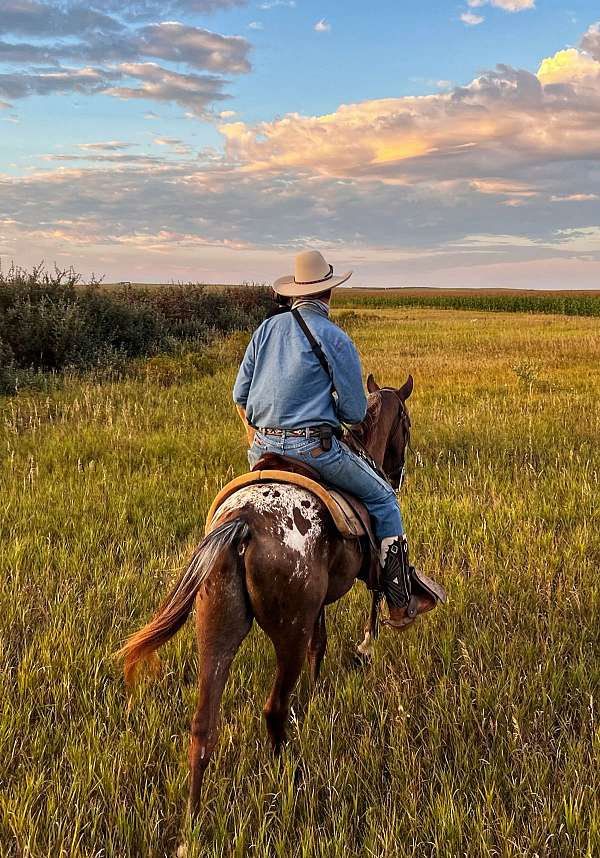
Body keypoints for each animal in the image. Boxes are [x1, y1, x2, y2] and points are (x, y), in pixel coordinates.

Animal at [118, 372, 418, 816]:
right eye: (407, 424)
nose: (395, 476)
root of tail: (242, 523)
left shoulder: (317, 607)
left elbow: (320, 645)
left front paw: (316, 693)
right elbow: (372, 602)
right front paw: (364, 649)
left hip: (215, 627)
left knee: (203, 725)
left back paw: (192, 820)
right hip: (288, 633)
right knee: (274, 710)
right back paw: (290, 780)